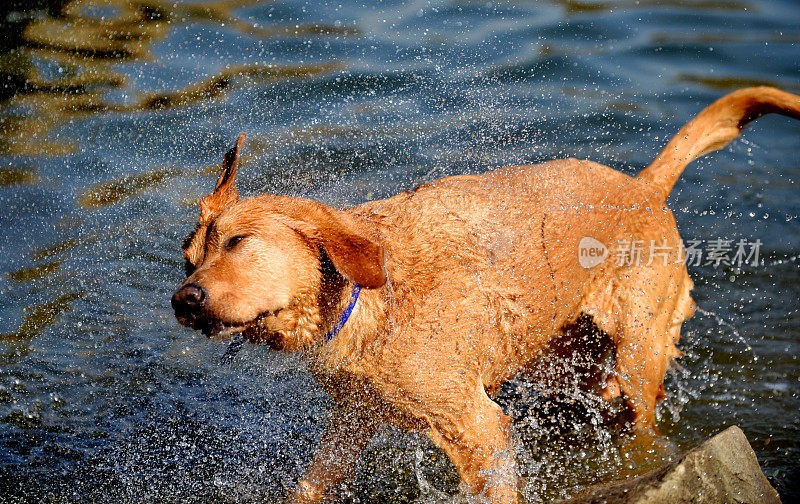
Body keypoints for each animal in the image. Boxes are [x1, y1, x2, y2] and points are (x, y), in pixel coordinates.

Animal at [172, 87, 796, 504]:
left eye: (238, 242)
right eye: (188, 257)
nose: (184, 301)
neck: (367, 300)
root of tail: (644, 187)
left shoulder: (479, 429)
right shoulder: (354, 419)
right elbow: (310, 484)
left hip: (638, 356)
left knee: (642, 421)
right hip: (565, 356)